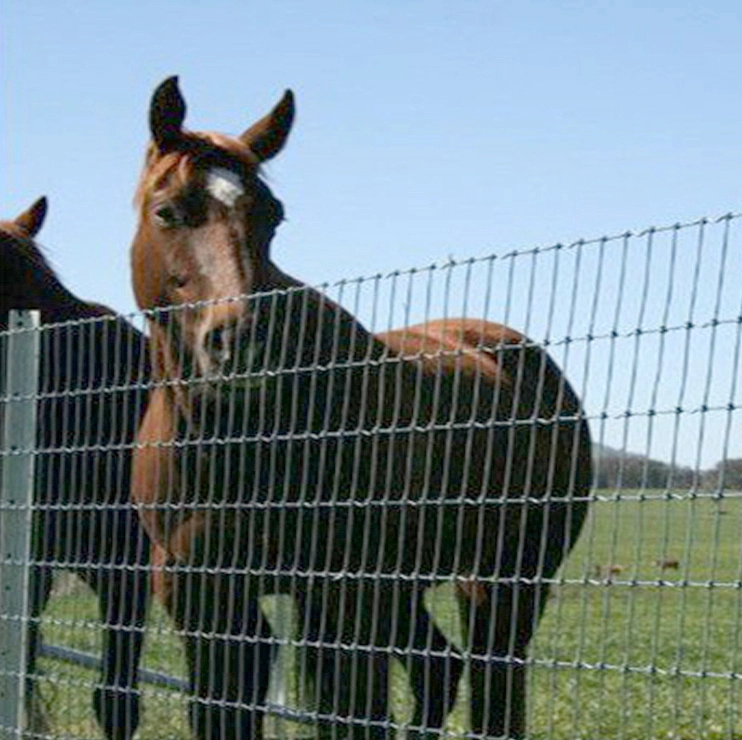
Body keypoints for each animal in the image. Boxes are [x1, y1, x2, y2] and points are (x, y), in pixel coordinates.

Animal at [128, 75, 592, 740]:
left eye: (272, 216)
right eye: (167, 210)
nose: (242, 343)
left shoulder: (345, 599)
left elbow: (357, 716)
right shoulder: (204, 598)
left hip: (500, 582)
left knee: (493, 685)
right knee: (438, 668)